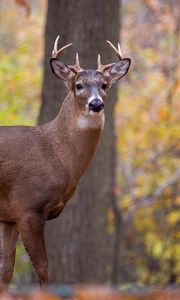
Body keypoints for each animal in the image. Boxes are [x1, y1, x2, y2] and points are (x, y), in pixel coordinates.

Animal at [0, 36, 130, 284]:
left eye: (104, 85)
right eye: (78, 85)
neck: (57, 156)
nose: (96, 104)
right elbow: (43, 269)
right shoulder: (28, 206)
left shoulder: (8, 216)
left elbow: (6, 272)